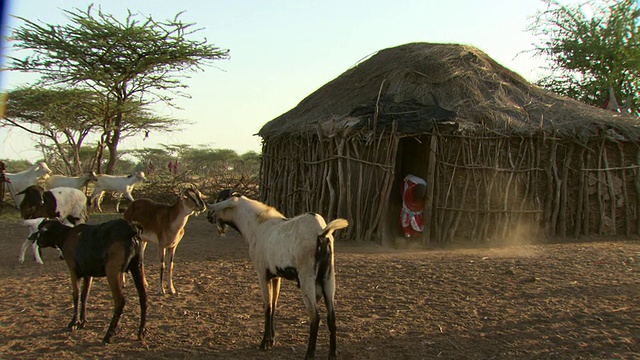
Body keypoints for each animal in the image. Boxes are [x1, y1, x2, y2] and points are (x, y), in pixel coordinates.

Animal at [209, 194, 350, 360]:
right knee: (331, 317)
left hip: (307, 279)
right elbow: (274, 304)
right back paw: (332, 354)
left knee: (315, 317)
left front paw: (264, 342)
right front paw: (272, 339)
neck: (257, 225)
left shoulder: (262, 274)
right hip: (329, 279)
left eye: (222, 201)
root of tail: (321, 233)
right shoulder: (276, 276)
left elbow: (267, 306)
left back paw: (309, 354)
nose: (209, 214)